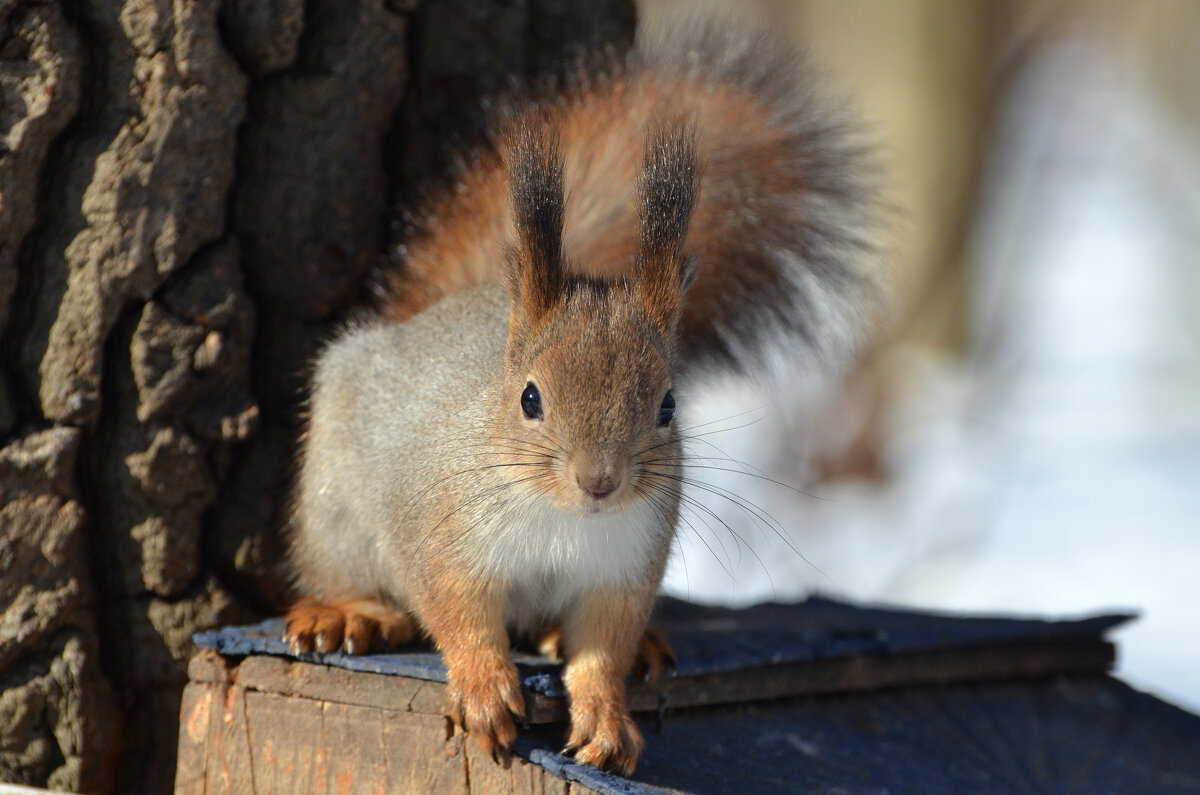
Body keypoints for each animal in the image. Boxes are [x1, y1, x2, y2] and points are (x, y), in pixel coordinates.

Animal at [285, 14, 878, 778]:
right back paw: (350, 611)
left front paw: (606, 716)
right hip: (334, 507)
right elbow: (457, 615)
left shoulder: (623, 569)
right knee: (342, 568)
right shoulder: (442, 534)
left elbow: (604, 647)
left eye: (668, 405)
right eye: (530, 400)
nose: (600, 482)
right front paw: (484, 688)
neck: (562, 520)